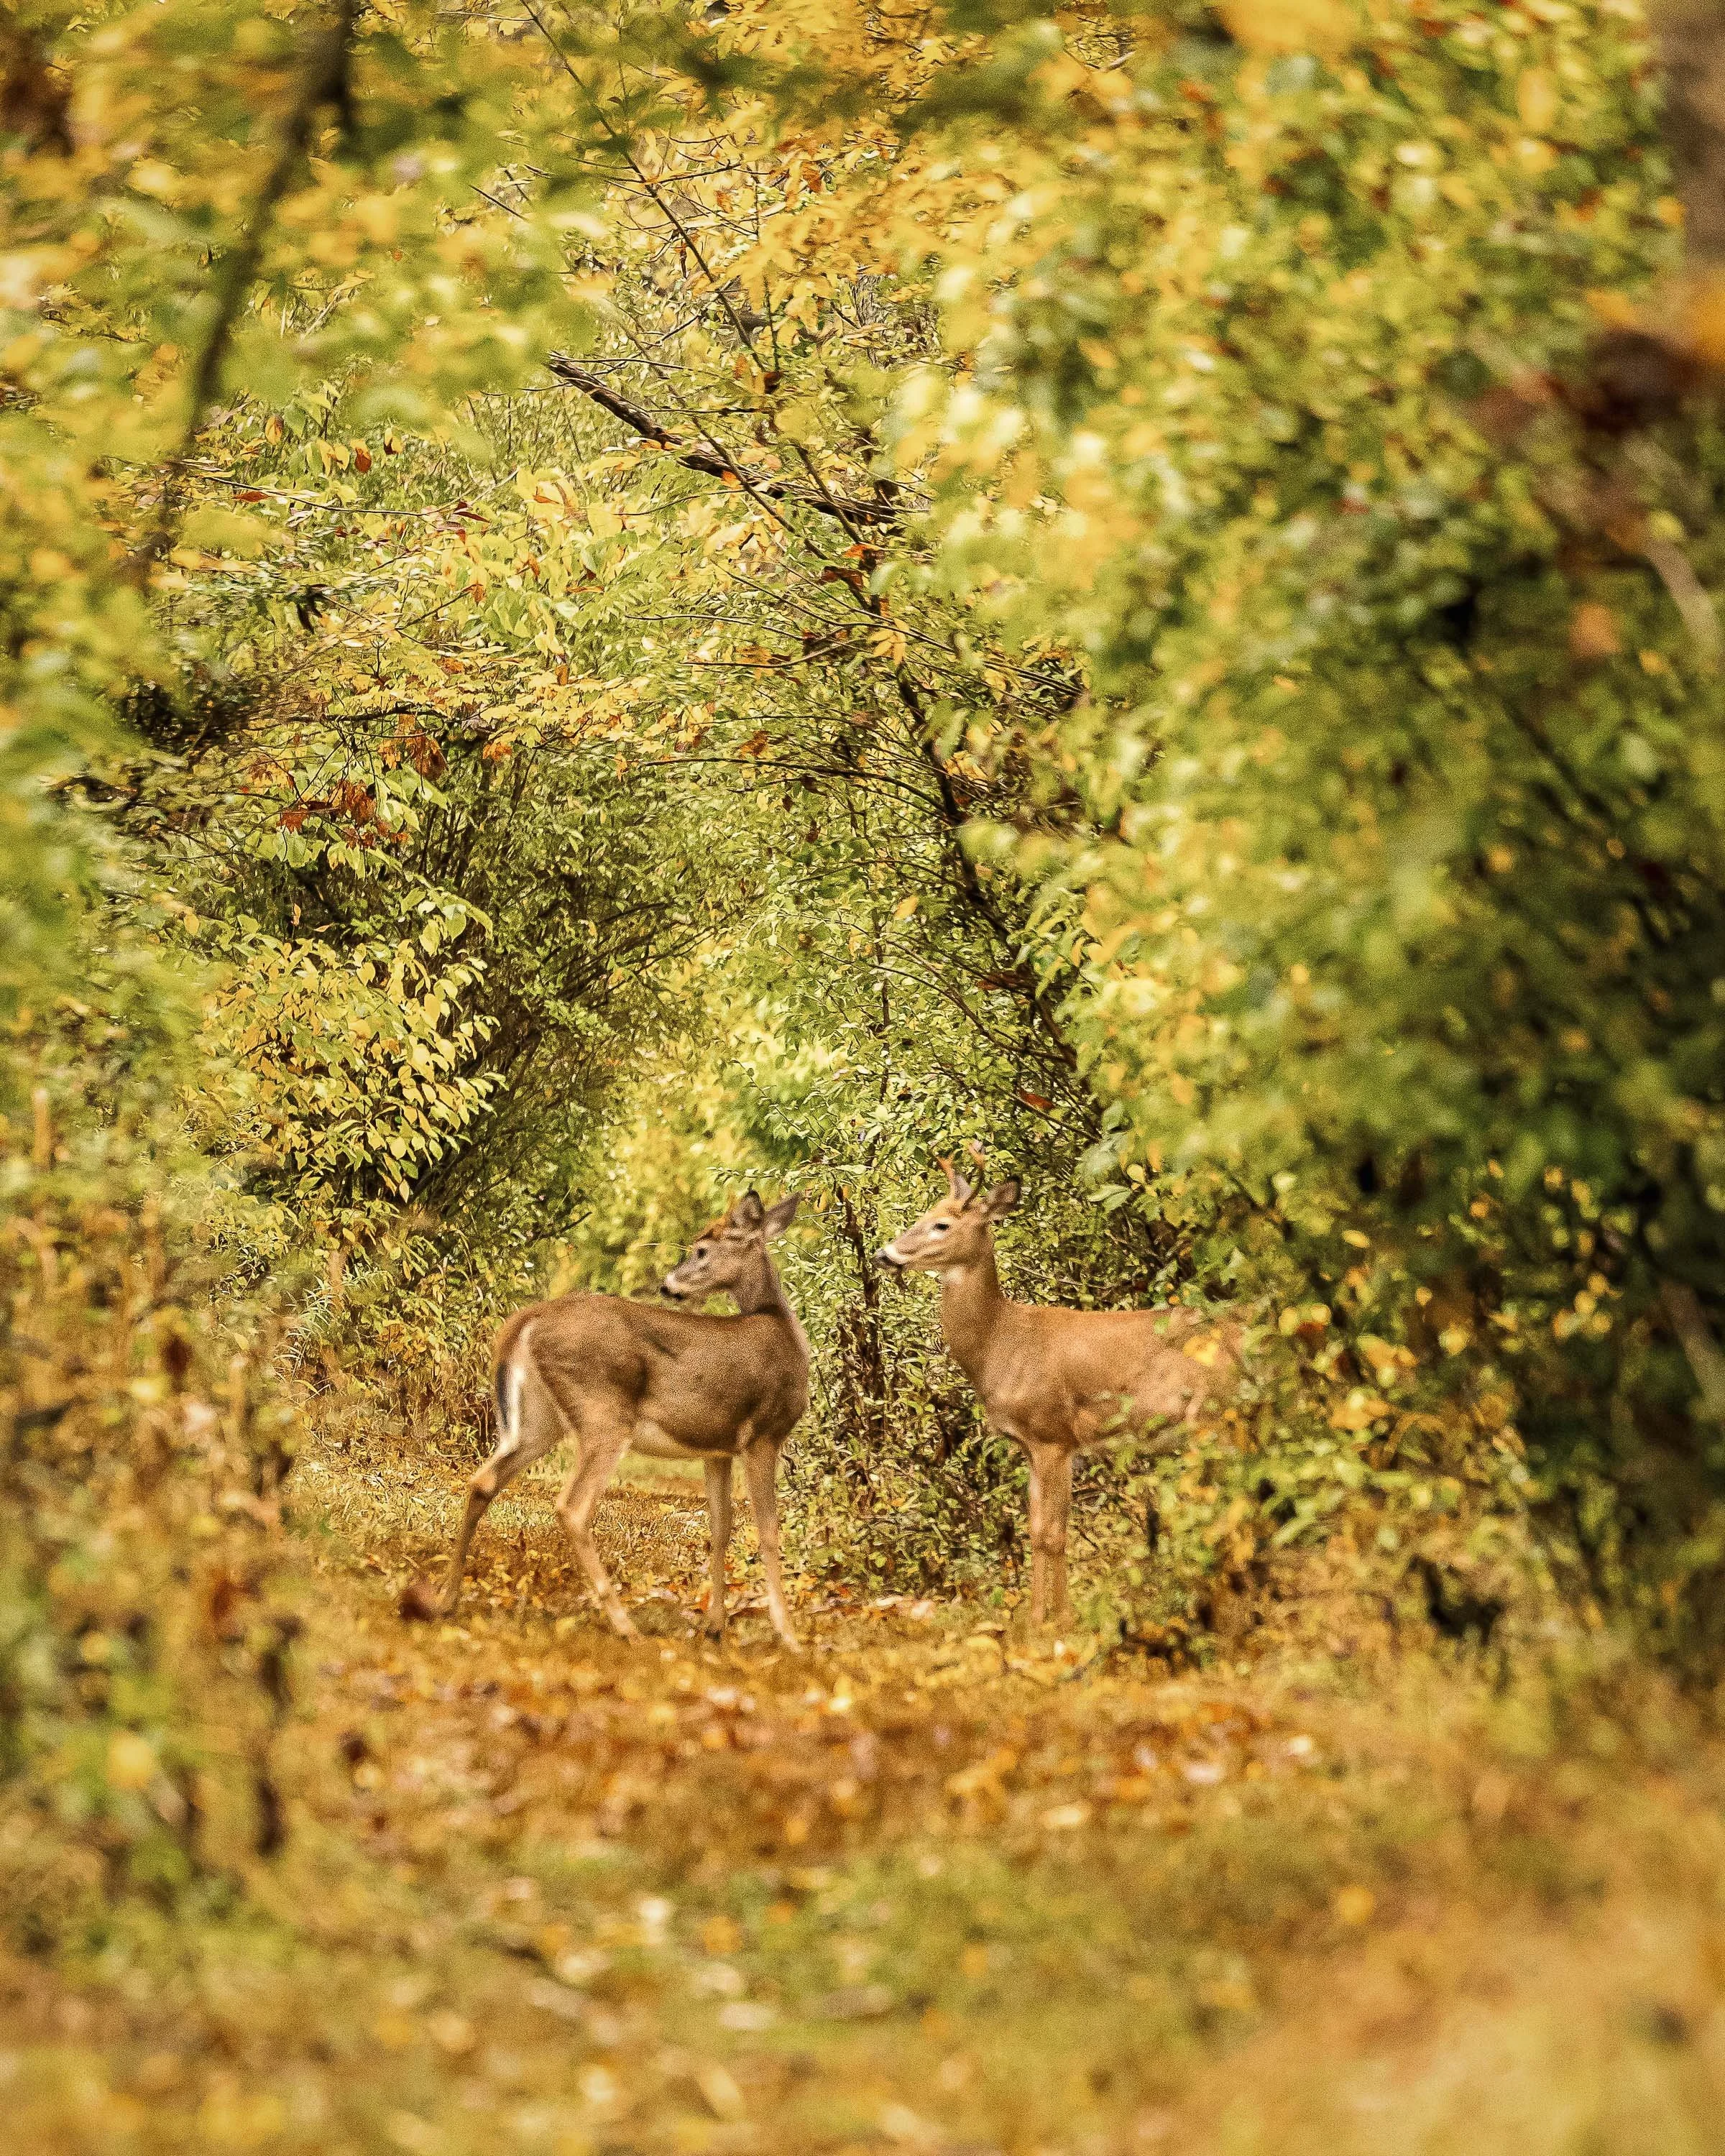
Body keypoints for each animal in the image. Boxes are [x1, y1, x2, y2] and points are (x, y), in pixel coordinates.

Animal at [405, 1192, 808, 1648]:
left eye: (703, 1250)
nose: (668, 1285)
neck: (782, 1328)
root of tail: (528, 1321)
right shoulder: (764, 1435)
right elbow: (769, 1531)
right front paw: (789, 1635)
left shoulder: (717, 1448)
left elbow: (721, 1527)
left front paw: (715, 1627)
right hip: (604, 1414)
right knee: (573, 1507)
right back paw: (626, 1626)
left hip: (538, 1420)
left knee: (482, 1481)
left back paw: (445, 1600)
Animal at [877, 1159, 1239, 1627]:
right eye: (925, 1212)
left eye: (942, 1224)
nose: (886, 1253)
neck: (1002, 1343)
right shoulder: (1028, 1444)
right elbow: (1035, 1532)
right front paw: (1035, 1619)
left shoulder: (1054, 1435)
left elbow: (1053, 1533)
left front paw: (1061, 1620)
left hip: (1213, 1417)